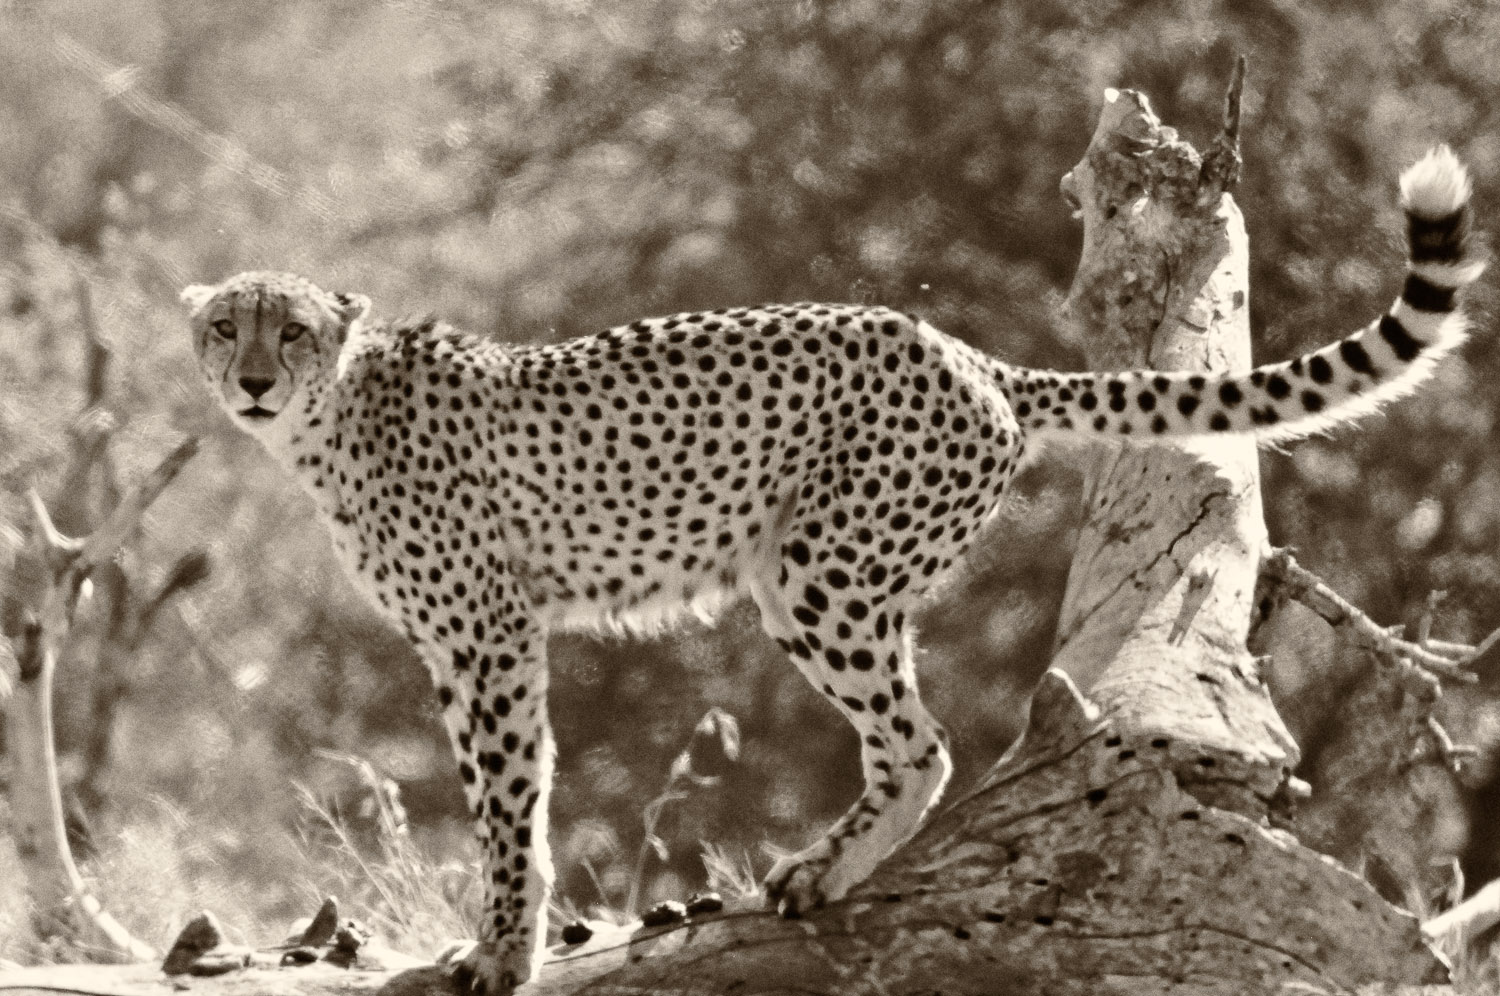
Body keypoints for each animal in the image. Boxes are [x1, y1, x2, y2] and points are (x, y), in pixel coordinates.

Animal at [182, 147, 1480, 993]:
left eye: (291, 329)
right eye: (223, 325)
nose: (251, 378)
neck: (334, 418)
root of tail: (970, 355)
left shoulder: (492, 633)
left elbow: (510, 797)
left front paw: (502, 950)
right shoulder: (457, 648)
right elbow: (499, 788)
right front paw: (504, 938)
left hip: (817, 571)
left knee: (922, 742)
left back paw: (817, 872)